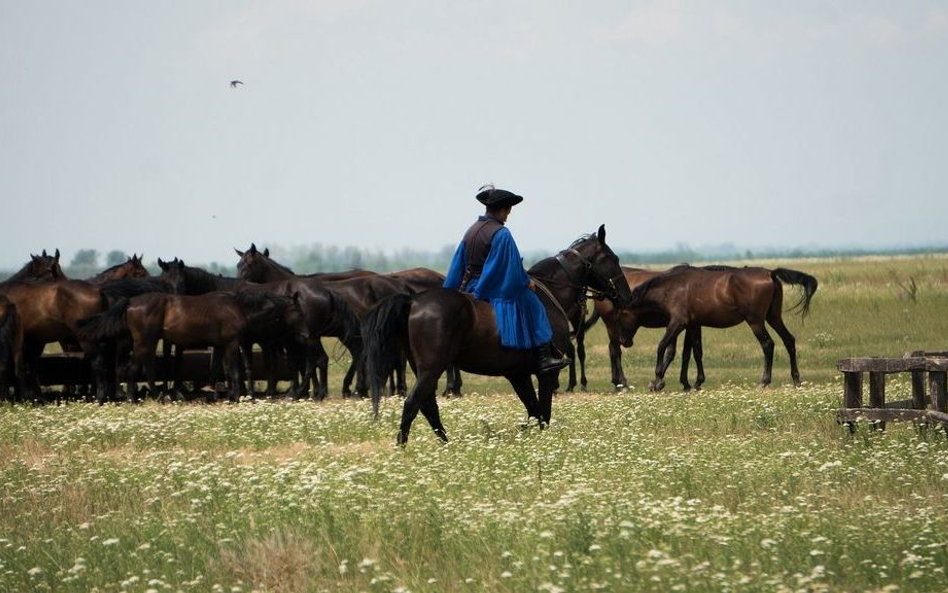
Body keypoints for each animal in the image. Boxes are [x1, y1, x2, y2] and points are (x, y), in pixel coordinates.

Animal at [362, 225, 628, 444]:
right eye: (612, 259)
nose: (625, 296)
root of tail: (413, 301)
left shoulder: (517, 374)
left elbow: (534, 410)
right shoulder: (546, 374)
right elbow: (544, 412)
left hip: (423, 368)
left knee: (427, 405)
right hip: (431, 368)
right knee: (413, 403)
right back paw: (404, 447)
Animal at [624, 266, 820, 390]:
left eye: (621, 316)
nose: (625, 342)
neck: (673, 287)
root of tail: (770, 273)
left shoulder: (678, 323)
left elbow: (662, 347)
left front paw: (657, 380)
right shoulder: (693, 325)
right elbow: (696, 352)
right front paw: (696, 383)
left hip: (755, 321)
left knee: (768, 345)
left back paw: (763, 381)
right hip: (773, 317)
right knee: (789, 340)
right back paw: (796, 380)